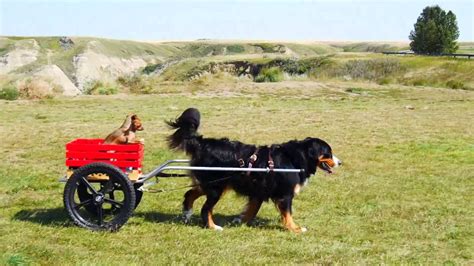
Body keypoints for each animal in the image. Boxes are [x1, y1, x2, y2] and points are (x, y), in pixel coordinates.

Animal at [167, 107, 340, 232]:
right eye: (328, 153)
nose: (340, 162)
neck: (295, 158)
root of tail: (203, 143)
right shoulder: (285, 195)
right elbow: (288, 214)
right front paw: (295, 229)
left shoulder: (258, 192)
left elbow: (252, 210)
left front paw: (240, 221)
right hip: (216, 187)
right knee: (205, 209)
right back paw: (213, 226)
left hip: (212, 184)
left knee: (189, 193)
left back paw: (187, 213)